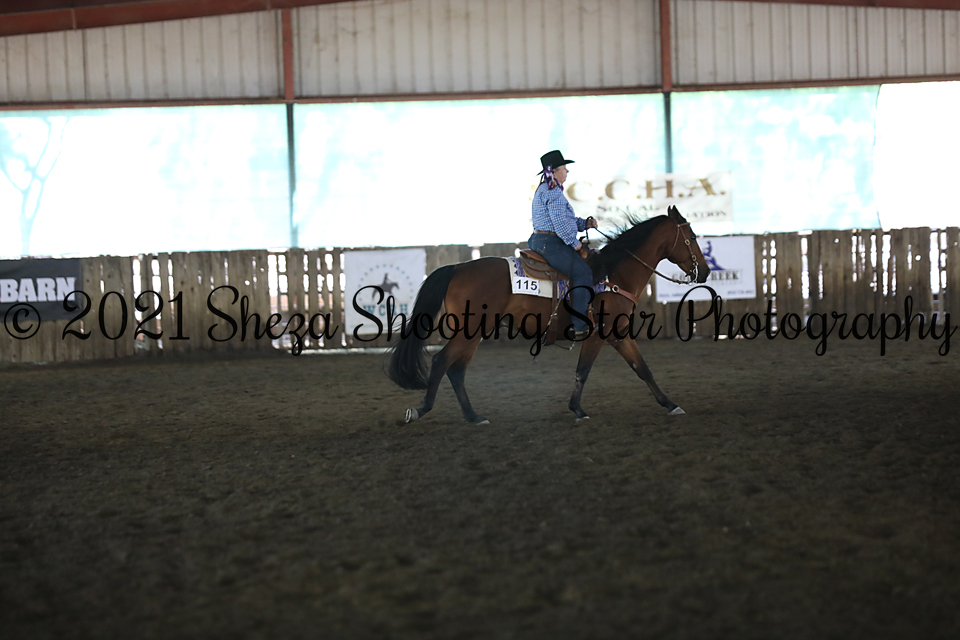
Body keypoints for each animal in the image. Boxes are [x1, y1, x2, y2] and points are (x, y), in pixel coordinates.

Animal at [385, 205, 710, 424]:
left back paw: (473, 416)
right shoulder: (600, 334)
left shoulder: (617, 335)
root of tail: (457, 267)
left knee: (456, 370)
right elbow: (586, 371)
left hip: (474, 332)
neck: (613, 274)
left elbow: (642, 369)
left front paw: (670, 404)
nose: (705, 271)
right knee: (441, 362)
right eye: (692, 236)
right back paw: (421, 410)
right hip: (470, 329)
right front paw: (578, 410)